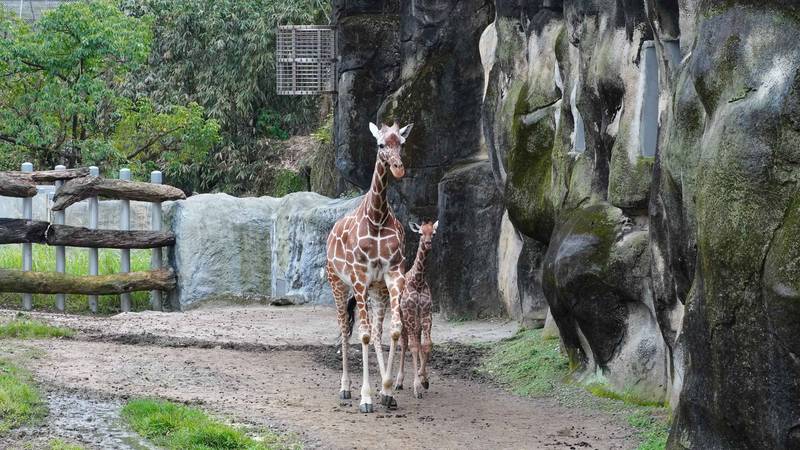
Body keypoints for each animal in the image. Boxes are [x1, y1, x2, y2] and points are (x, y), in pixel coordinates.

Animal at [324, 121, 412, 414]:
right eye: (381, 144)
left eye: (401, 143)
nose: (398, 168)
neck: (377, 218)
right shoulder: (359, 278)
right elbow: (361, 335)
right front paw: (366, 398)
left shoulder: (393, 275)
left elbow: (392, 330)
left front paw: (387, 390)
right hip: (338, 283)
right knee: (344, 329)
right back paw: (345, 388)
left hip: (377, 289)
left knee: (376, 332)